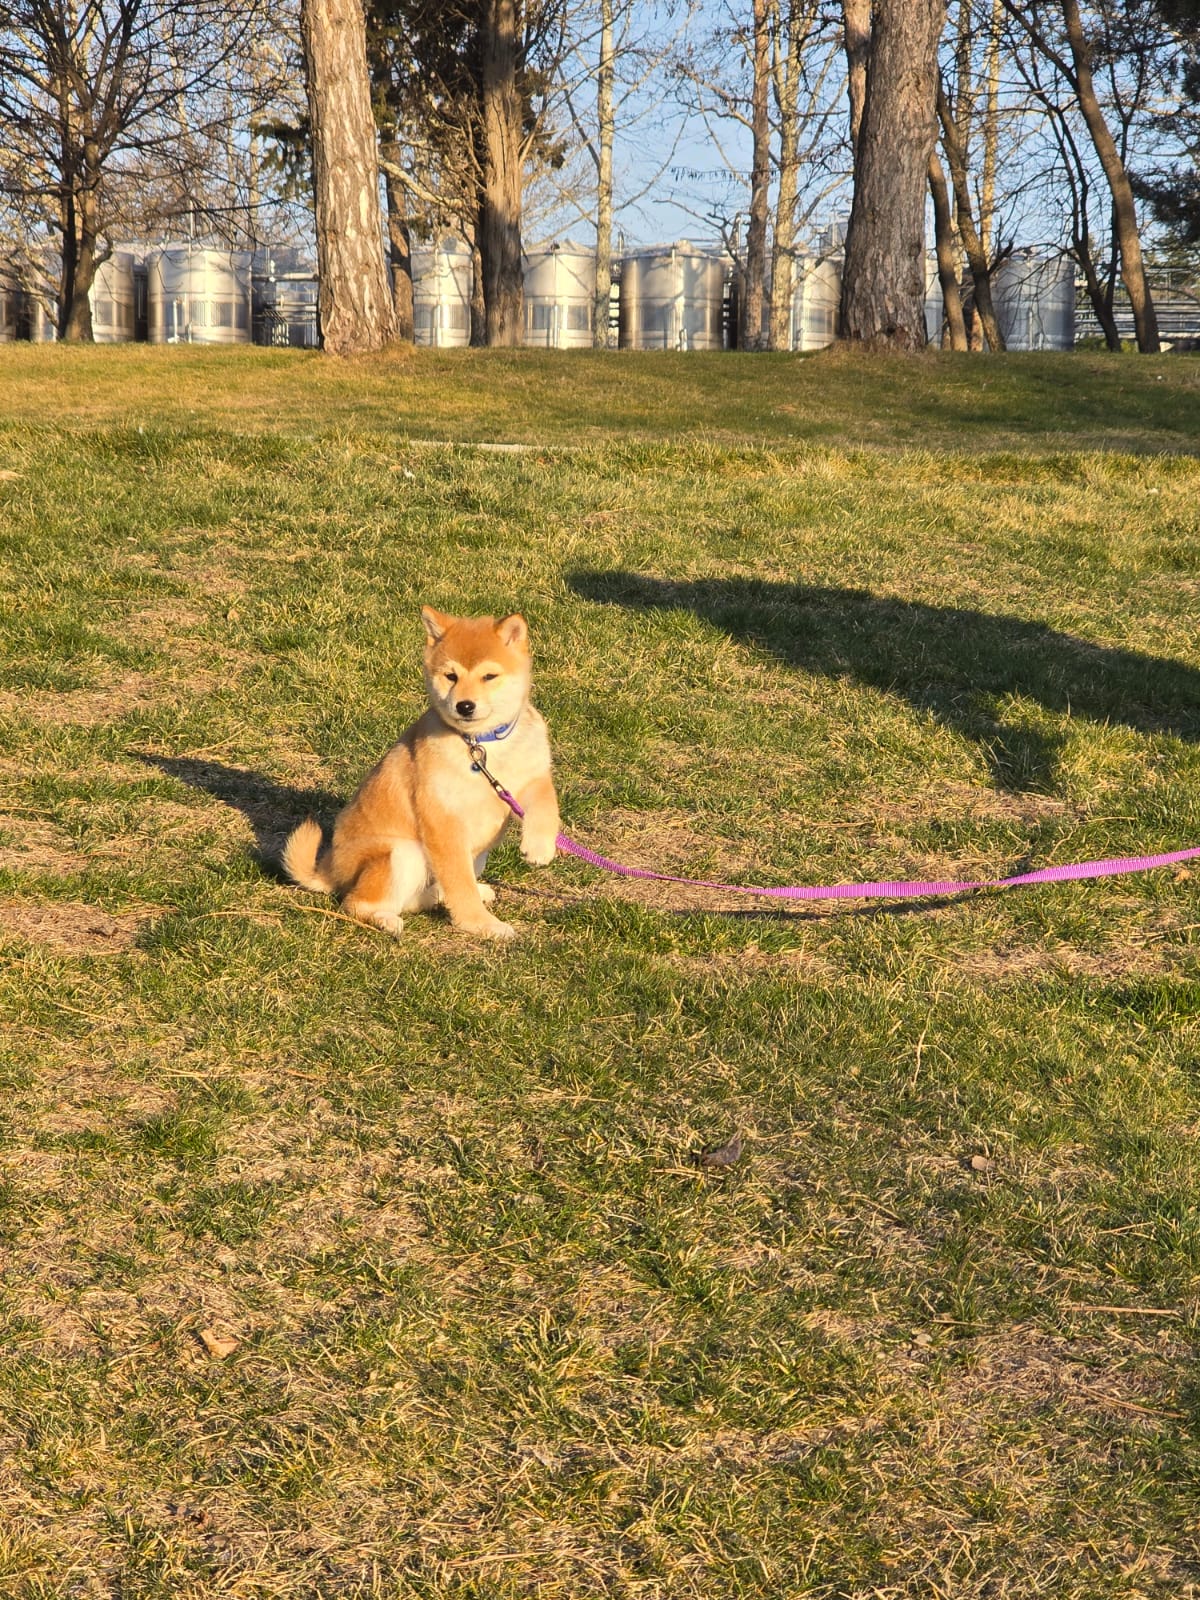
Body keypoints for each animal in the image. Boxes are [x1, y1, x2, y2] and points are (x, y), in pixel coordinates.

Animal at [284, 608, 563, 934]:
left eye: (489, 676)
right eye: (451, 676)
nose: (465, 705)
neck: (481, 745)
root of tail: (330, 870)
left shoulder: (529, 778)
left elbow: (547, 804)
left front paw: (539, 846)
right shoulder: (443, 819)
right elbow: (460, 884)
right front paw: (481, 925)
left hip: (473, 855)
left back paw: (442, 896)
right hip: (403, 853)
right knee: (357, 903)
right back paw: (387, 919)